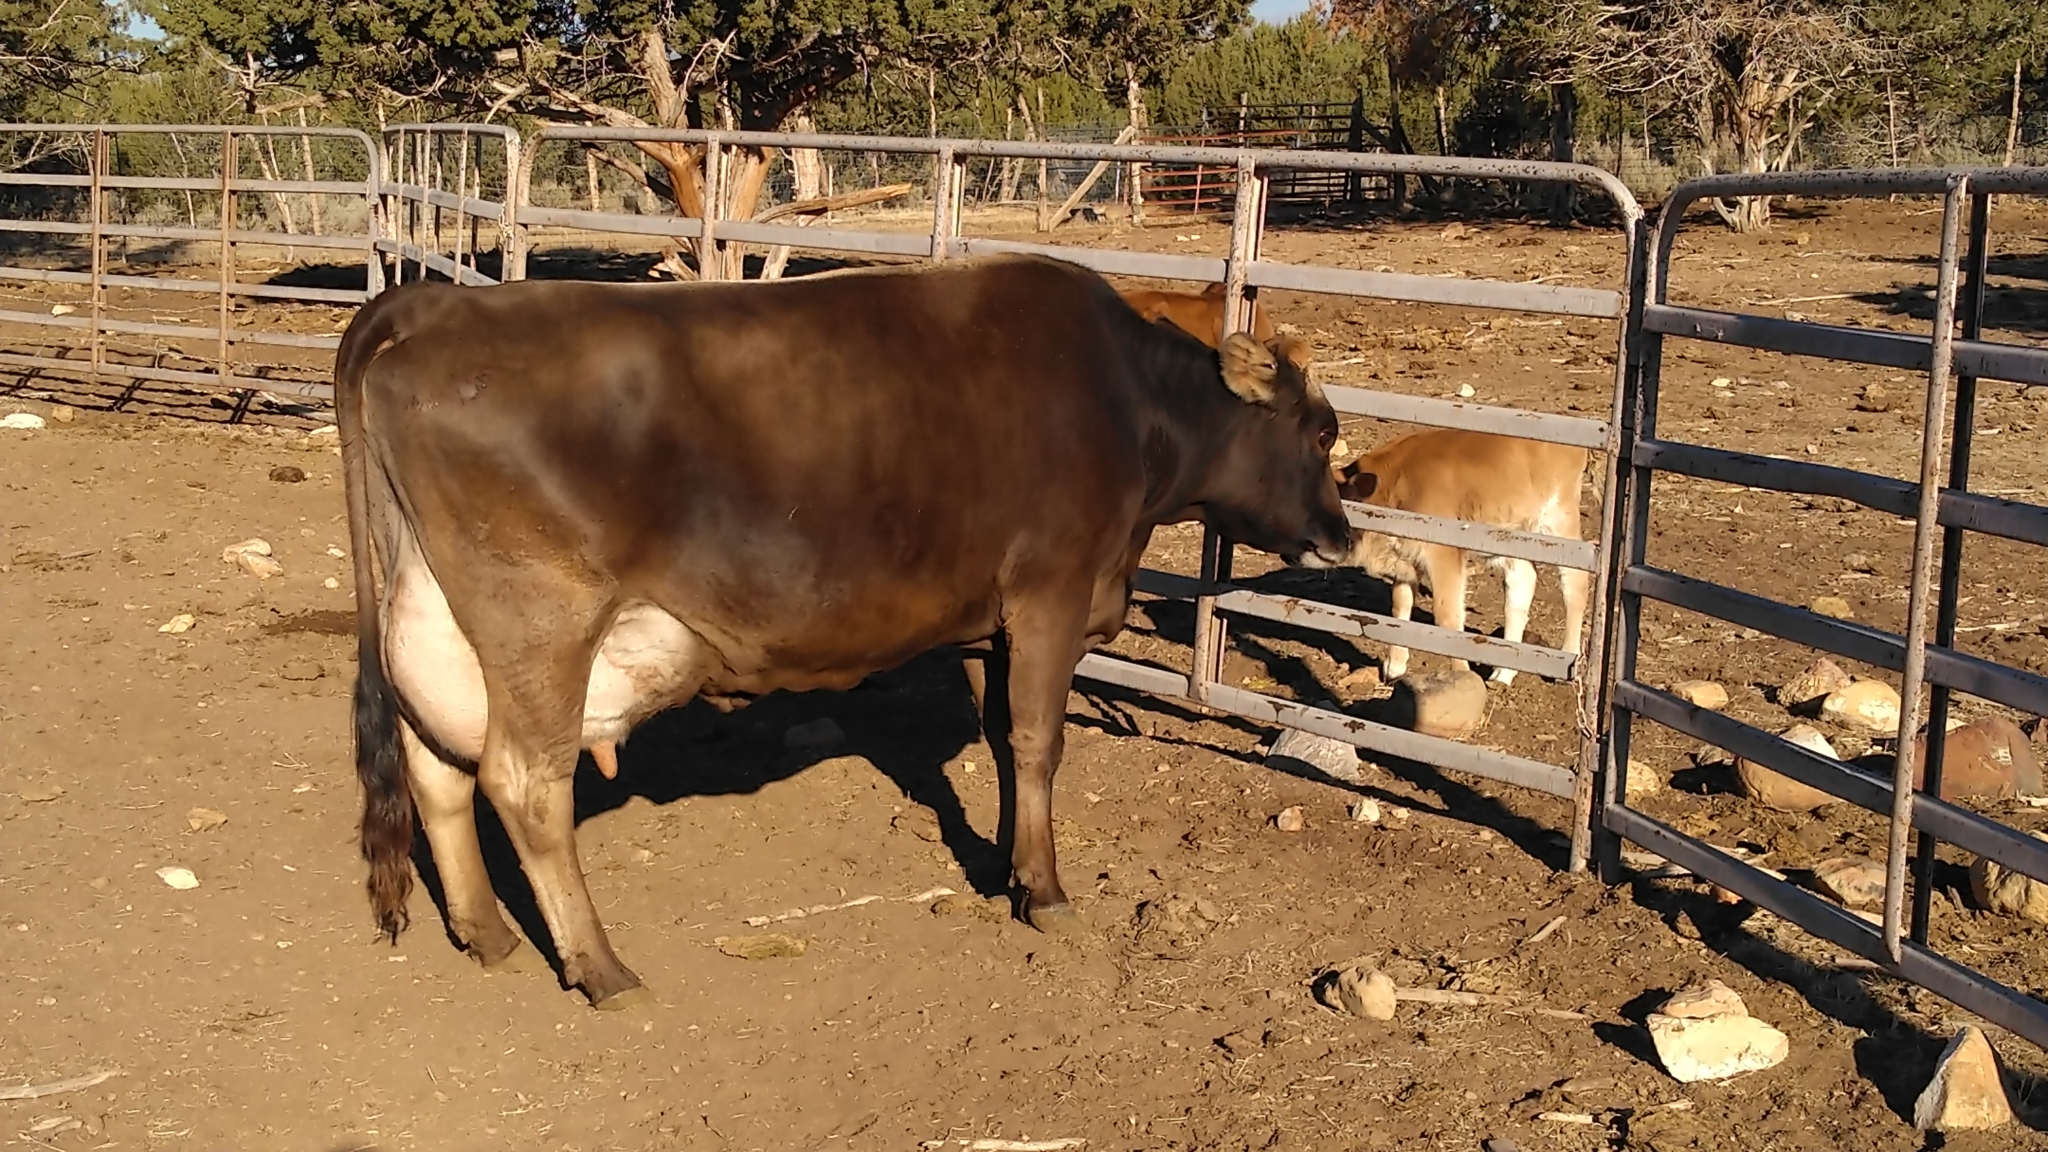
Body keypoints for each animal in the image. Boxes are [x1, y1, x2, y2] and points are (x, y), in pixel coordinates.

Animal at [1304, 429, 1590, 686]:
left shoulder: (1443, 556)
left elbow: (1447, 616)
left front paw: (1461, 675)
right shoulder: (1405, 561)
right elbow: (1399, 609)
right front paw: (1394, 667)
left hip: (1558, 522)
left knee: (1575, 583)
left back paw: (1567, 661)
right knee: (1521, 588)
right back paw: (1502, 673)